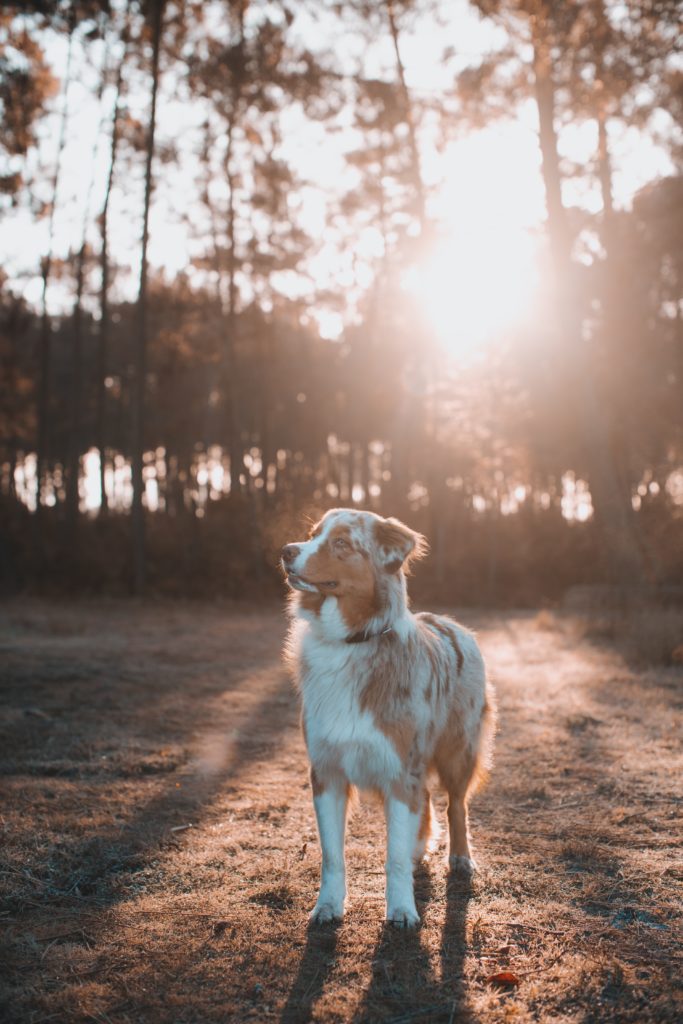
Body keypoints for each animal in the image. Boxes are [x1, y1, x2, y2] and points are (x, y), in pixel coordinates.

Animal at [280, 505, 493, 929]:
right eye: (312, 535)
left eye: (341, 542)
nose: (286, 551)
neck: (350, 641)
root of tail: (455, 624)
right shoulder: (327, 771)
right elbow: (332, 855)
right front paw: (327, 906)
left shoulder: (398, 770)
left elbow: (392, 857)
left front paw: (401, 910)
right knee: (424, 796)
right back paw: (418, 846)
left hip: (457, 751)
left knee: (456, 805)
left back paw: (460, 857)